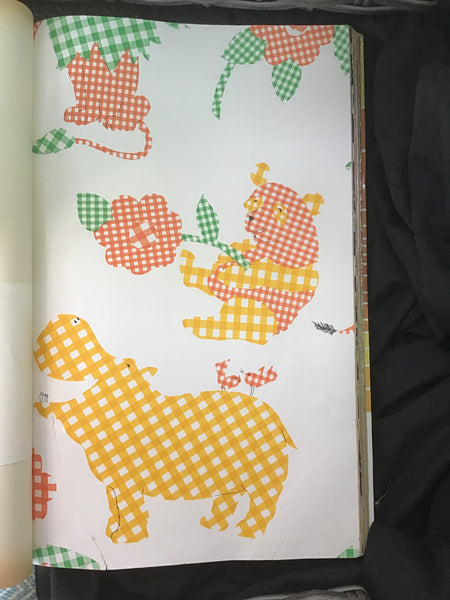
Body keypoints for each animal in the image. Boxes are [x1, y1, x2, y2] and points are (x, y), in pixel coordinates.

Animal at [181, 182, 323, 344]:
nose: (251, 217)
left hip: (254, 310)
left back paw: (194, 323)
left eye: (279, 210)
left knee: (225, 325)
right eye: (256, 201)